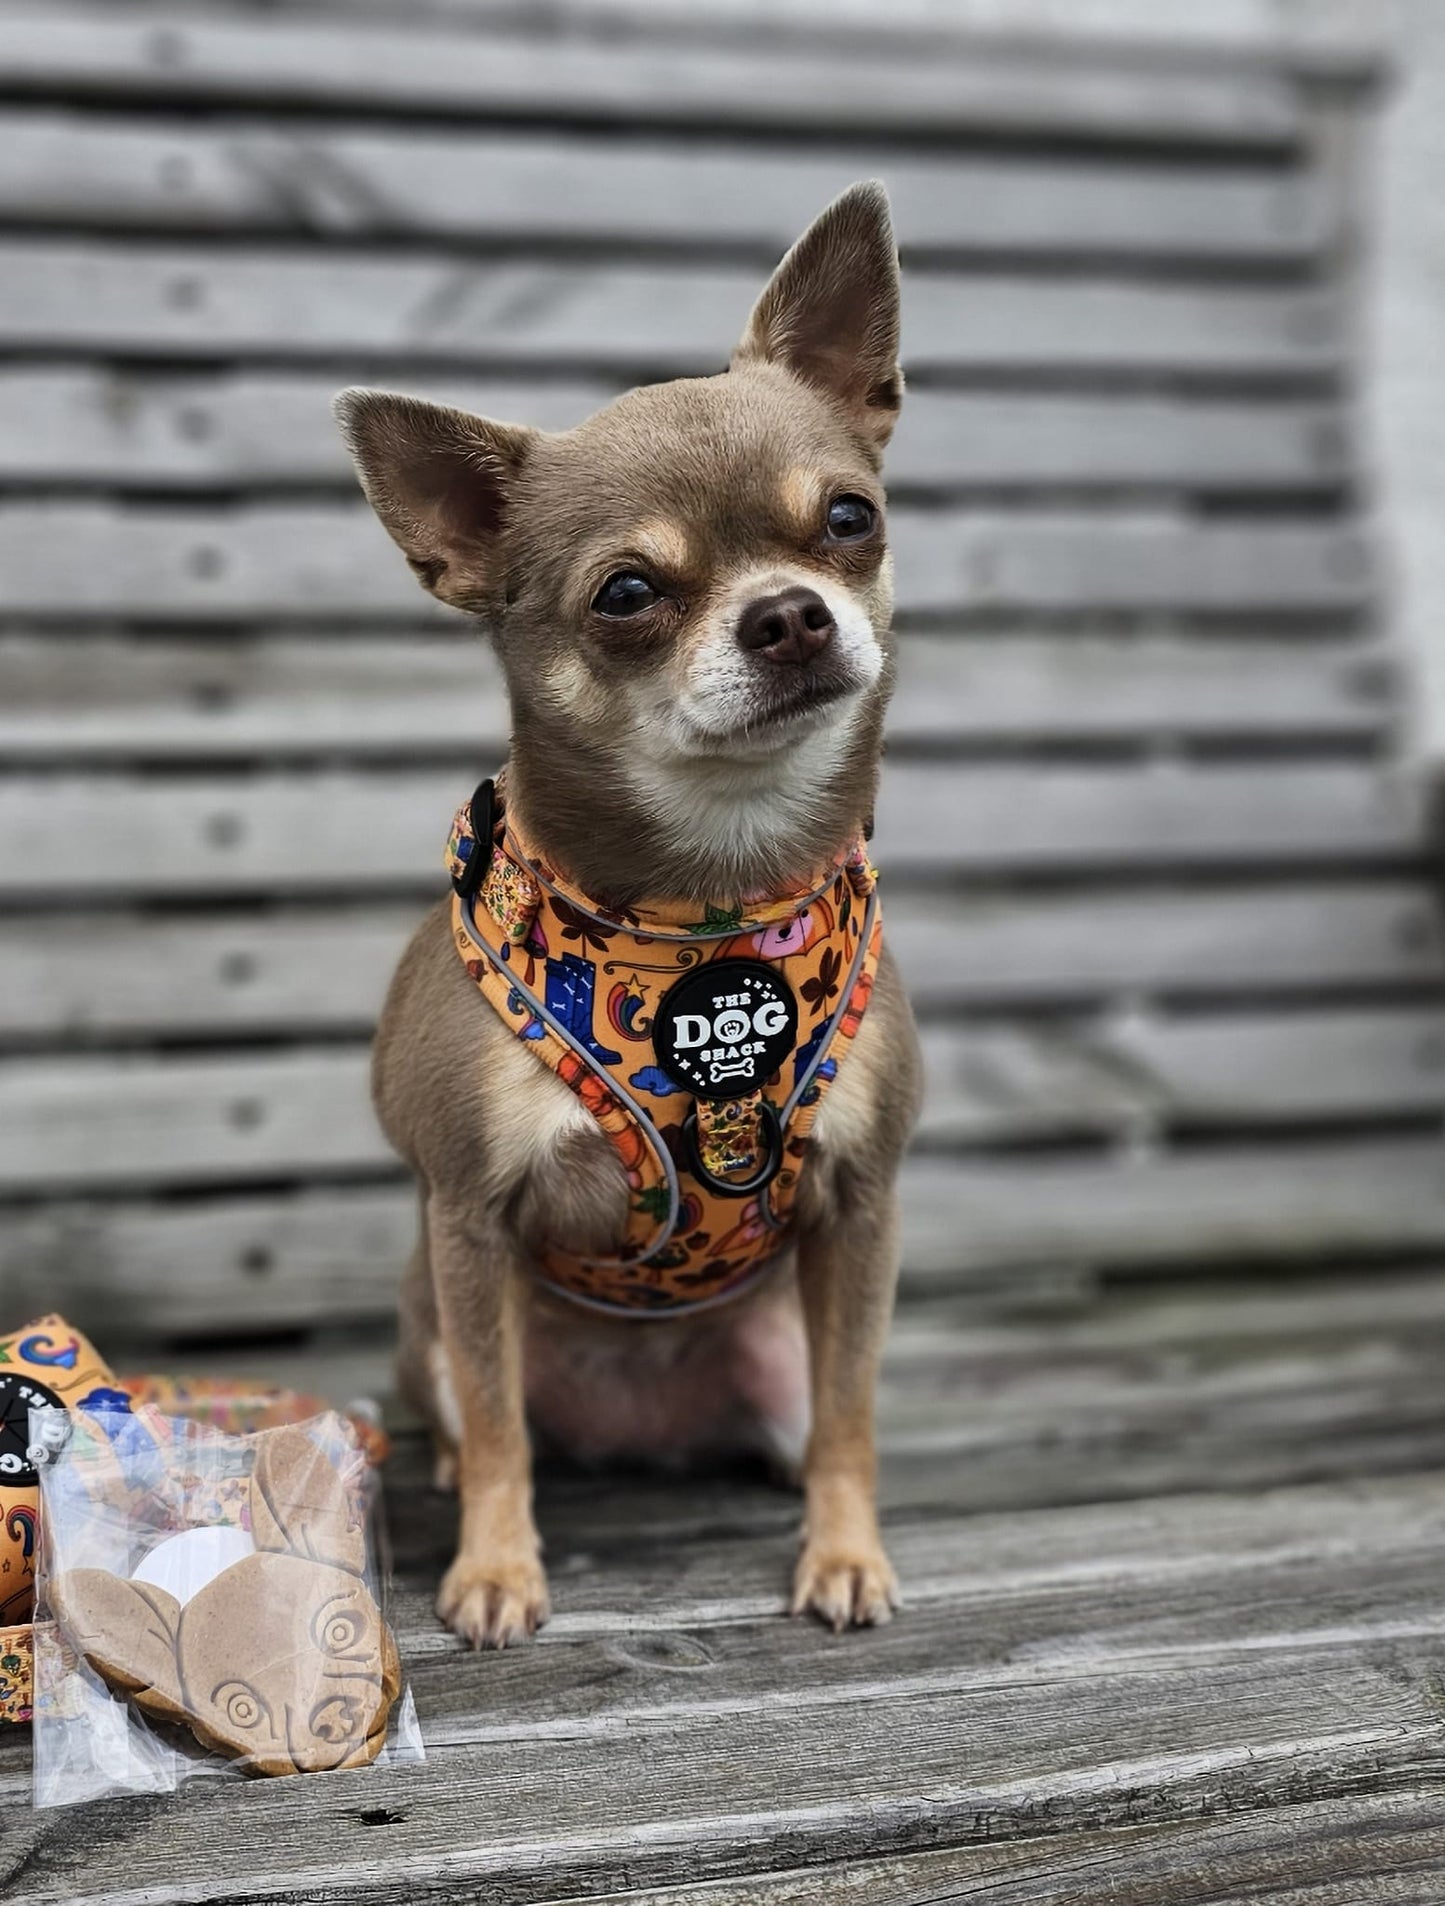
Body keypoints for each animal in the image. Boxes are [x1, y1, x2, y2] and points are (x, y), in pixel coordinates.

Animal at [337, 182, 922, 1654]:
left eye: (849, 517)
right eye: (627, 594)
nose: (789, 614)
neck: (710, 911)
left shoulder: (861, 1209)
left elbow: (853, 1409)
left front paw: (843, 1551)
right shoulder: (472, 1217)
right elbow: (501, 1433)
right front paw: (496, 1572)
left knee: (804, 1412)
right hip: (434, 1322)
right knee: (480, 1415)